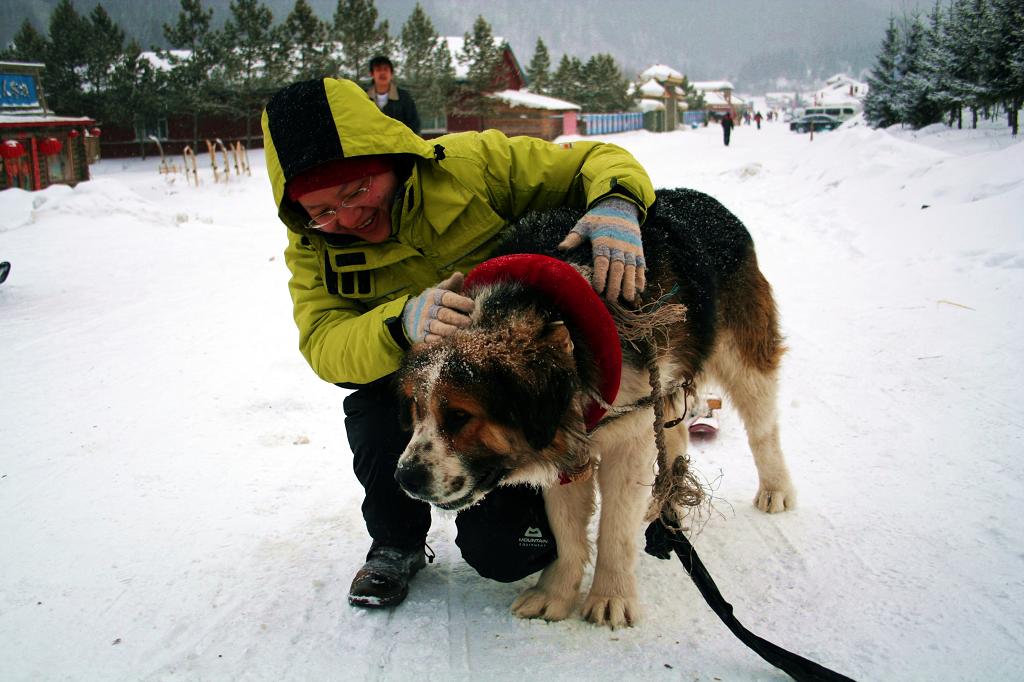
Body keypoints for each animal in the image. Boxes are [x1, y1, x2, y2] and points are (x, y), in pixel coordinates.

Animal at [395, 187, 794, 626]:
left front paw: (611, 597)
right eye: (416, 410)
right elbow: (566, 528)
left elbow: (615, 531)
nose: (404, 478)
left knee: (763, 427)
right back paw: (666, 501)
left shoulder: (629, 437)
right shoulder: (571, 444)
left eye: (459, 416)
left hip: (742, 361)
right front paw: (554, 593)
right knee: (675, 439)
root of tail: (703, 200)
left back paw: (775, 489)